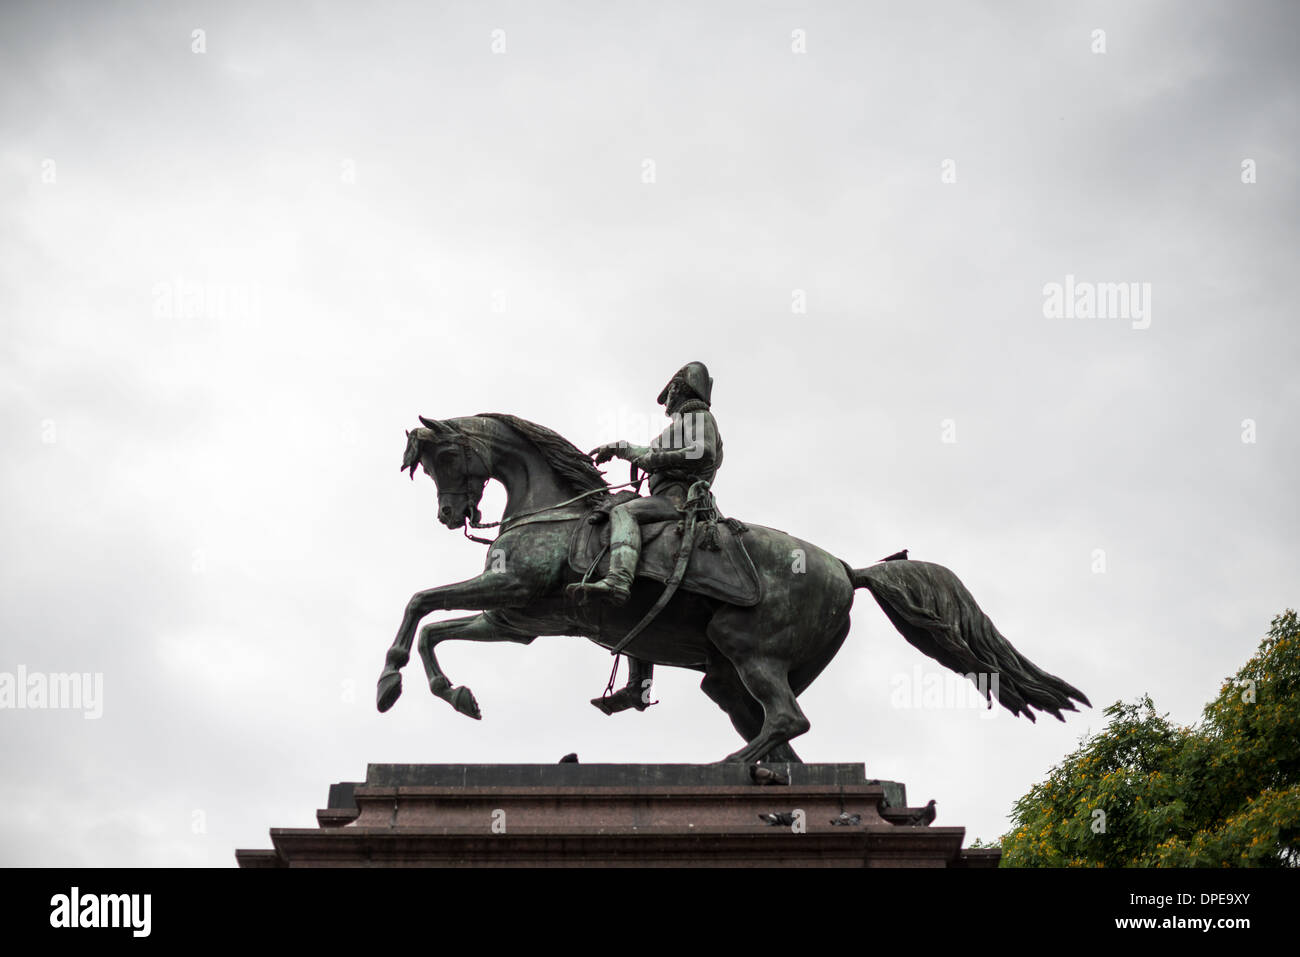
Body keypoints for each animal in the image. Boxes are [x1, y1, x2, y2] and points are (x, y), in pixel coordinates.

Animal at [377, 410, 1086, 764]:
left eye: (445, 457)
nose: (450, 516)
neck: (554, 508)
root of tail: (847, 569)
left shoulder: (514, 591)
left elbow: (419, 602)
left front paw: (390, 681)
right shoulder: (516, 621)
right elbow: (432, 624)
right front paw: (450, 694)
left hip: (749, 650)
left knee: (788, 721)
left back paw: (727, 773)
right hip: (728, 675)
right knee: (781, 735)